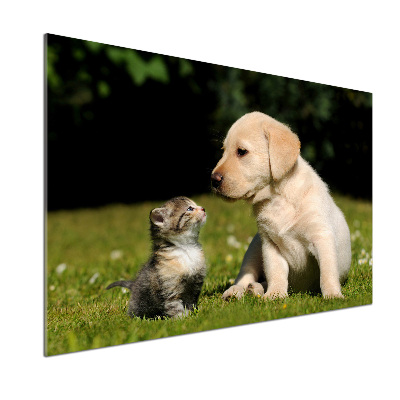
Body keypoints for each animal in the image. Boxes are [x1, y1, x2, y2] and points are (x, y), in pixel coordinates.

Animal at [211, 111, 352, 298]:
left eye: (241, 152)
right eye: (223, 151)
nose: (213, 180)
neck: (277, 198)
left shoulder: (321, 236)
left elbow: (327, 271)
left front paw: (333, 295)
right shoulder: (270, 244)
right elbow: (276, 272)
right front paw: (275, 295)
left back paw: (255, 289)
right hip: (254, 248)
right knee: (245, 275)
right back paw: (237, 291)